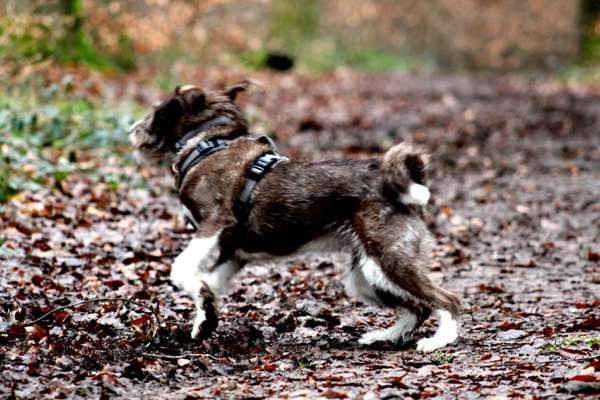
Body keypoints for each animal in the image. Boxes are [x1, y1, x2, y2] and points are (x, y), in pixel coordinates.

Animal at [129, 82, 462, 354]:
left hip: (390, 259)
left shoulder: (214, 223)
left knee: (446, 300)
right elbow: (208, 284)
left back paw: (438, 341)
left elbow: (181, 269)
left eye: (159, 111)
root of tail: (398, 178)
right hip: (367, 275)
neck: (208, 144)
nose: (132, 129)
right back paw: (384, 336)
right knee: (417, 308)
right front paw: (205, 317)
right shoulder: (233, 252)